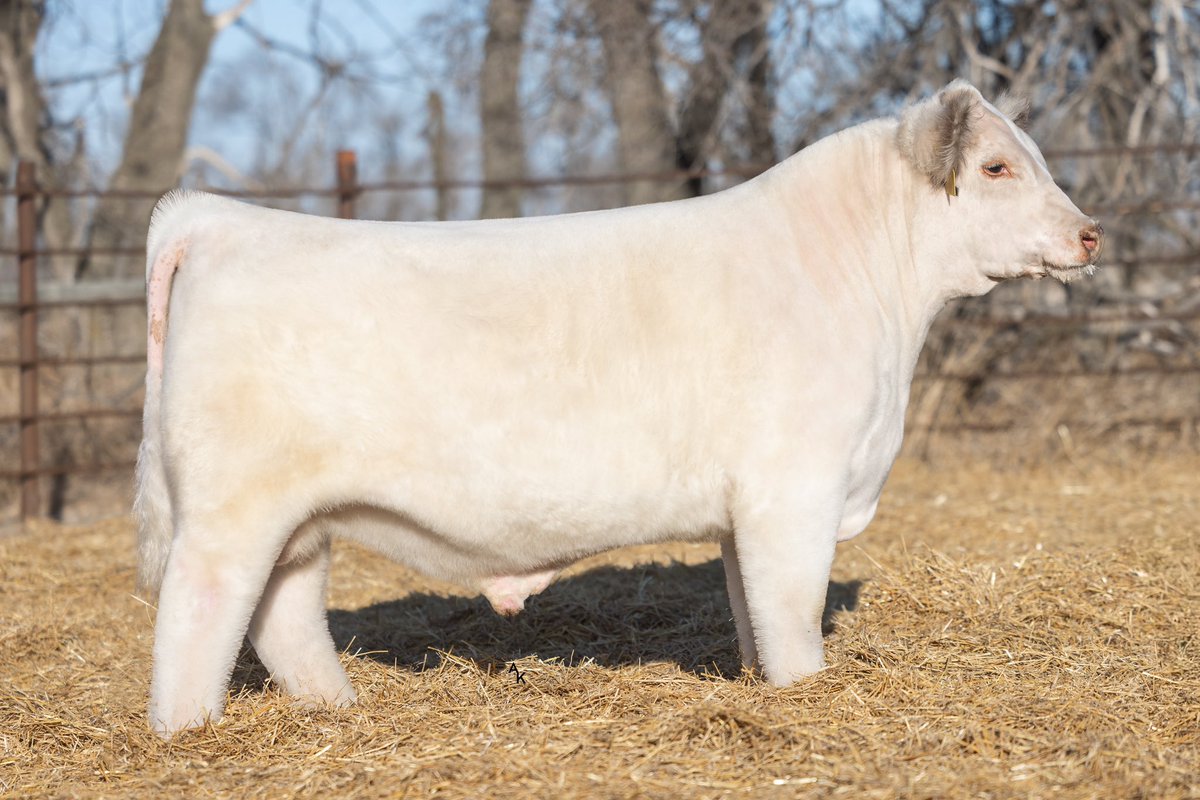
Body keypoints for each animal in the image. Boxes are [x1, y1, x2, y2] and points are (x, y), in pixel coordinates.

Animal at [135, 80, 1102, 736]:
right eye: (995, 166)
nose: (1090, 232)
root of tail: (218, 218)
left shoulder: (743, 510)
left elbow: (751, 610)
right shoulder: (794, 489)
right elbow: (792, 611)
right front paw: (804, 696)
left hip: (299, 519)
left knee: (285, 616)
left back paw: (340, 707)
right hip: (231, 508)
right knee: (200, 611)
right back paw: (188, 733)